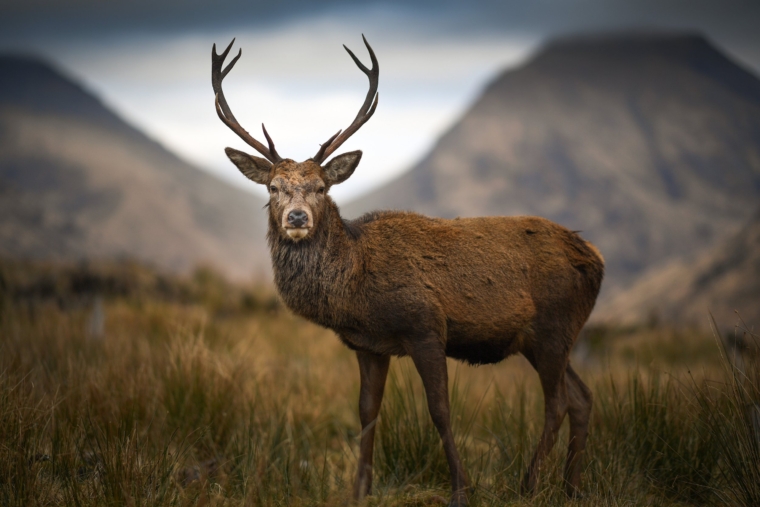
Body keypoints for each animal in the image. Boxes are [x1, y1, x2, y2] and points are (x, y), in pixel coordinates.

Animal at [212, 36, 604, 507]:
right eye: (273, 187)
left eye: (322, 187)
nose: (297, 217)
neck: (357, 287)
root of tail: (596, 260)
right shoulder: (368, 345)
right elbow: (367, 413)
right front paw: (359, 491)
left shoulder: (426, 327)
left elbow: (440, 411)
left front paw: (462, 489)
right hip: (547, 338)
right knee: (582, 397)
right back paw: (571, 487)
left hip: (553, 327)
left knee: (558, 402)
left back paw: (529, 485)